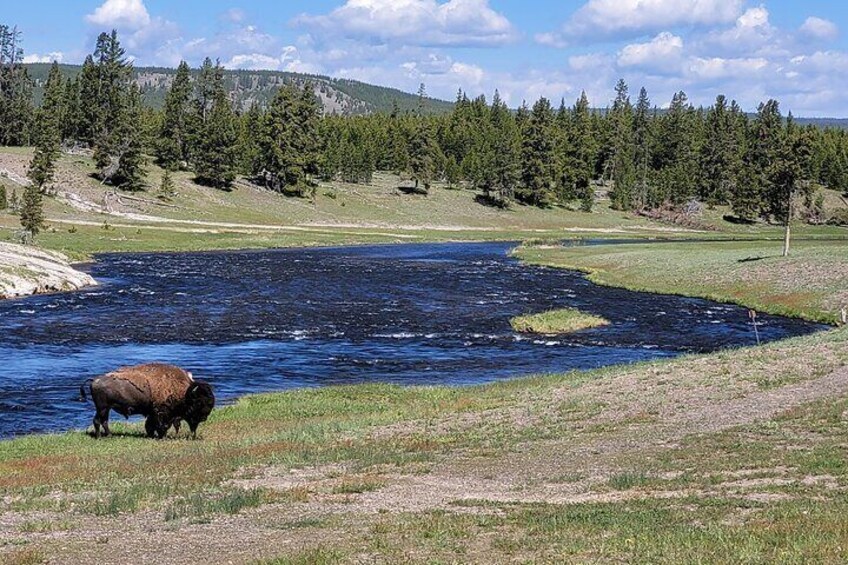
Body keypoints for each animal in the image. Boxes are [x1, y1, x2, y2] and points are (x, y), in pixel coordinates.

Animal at [79, 364, 214, 438]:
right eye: (199, 402)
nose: (204, 417)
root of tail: (94, 379)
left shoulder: (153, 413)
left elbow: (150, 425)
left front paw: (152, 435)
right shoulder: (160, 413)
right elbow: (161, 425)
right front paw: (161, 436)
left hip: (104, 409)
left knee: (102, 421)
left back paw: (108, 435)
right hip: (103, 408)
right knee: (99, 421)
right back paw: (101, 437)